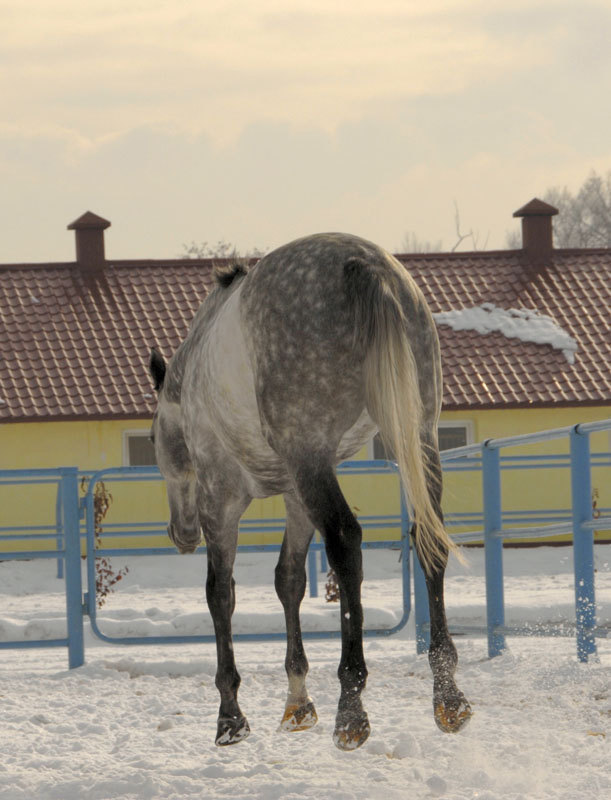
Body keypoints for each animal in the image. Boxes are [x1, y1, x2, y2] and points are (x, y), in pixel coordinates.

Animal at [149, 231, 474, 752]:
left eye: (152, 437)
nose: (179, 533)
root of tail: (363, 263)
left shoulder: (221, 501)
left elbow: (220, 593)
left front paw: (230, 715)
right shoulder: (297, 495)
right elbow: (289, 580)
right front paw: (297, 702)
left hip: (313, 456)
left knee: (346, 543)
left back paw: (352, 707)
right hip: (417, 436)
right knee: (428, 538)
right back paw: (447, 695)